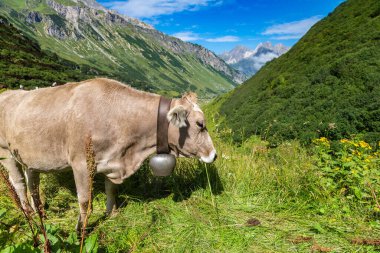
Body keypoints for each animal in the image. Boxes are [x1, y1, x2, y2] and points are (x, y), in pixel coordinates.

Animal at [0, 78, 218, 230]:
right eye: (200, 124)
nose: (214, 154)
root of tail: (6, 93)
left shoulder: (113, 162)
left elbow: (111, 190)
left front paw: (112, 214)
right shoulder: (80, 163)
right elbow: (84, 200)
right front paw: (81, 229)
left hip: (30, 156)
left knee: (32, 182)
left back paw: (40, 211)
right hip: (6, 153)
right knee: (19, 183)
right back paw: (29, 212)